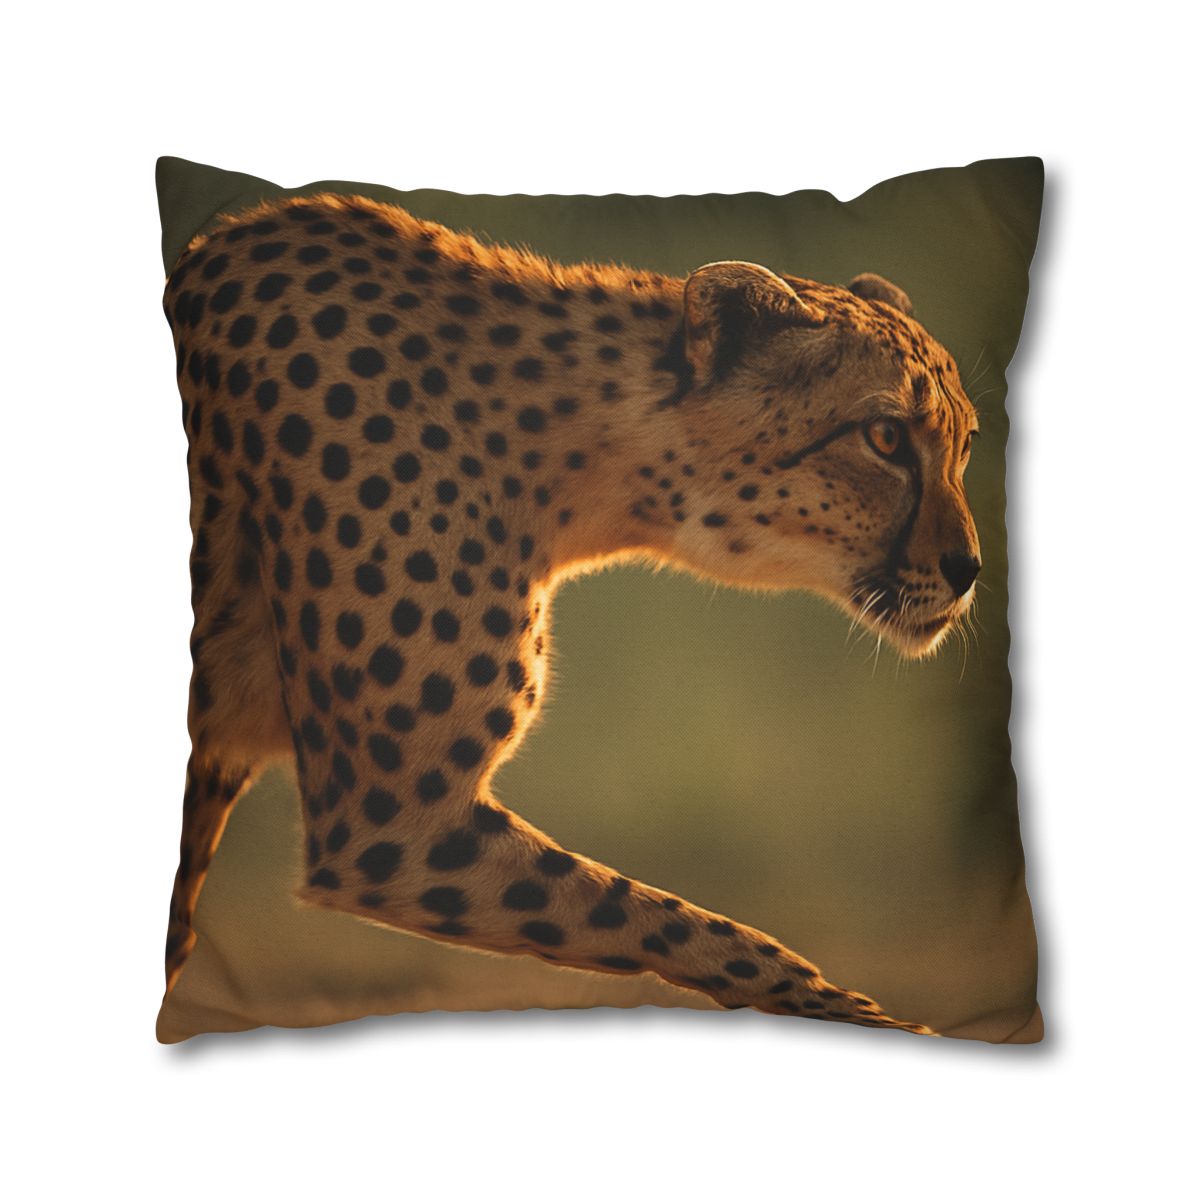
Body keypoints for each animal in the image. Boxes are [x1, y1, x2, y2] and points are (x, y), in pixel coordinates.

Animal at [162, 193, 982, 1036]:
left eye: (965, 445)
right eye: (884, 437)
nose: (970, 570)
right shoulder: (387, 826)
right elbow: (689, 926)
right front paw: (879, 1023)